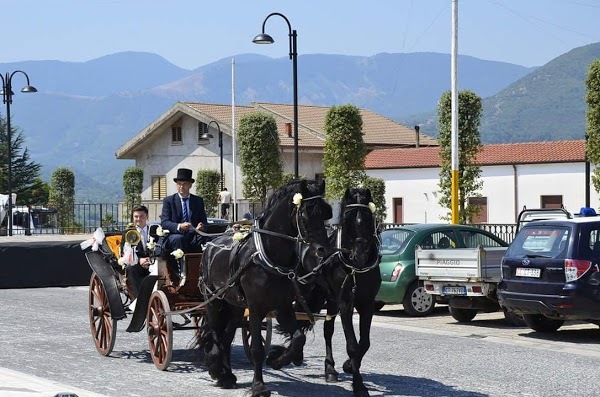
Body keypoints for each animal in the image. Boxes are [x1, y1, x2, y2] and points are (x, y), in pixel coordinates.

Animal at [197, 179, 332, 396]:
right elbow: (257, 349)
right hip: (214, 301)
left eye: (326, 212)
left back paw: (227, 376)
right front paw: (259, 386)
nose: (324, 251)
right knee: (216, 334)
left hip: (234, 306)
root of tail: (210, 244)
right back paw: (217, 369)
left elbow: (298, 338)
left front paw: (277, 360)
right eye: (306, 213)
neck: (269, 255)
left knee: (226, 338)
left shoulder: (282, 306)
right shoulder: (256, 308)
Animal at [298, 187, 382, 396]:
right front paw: (359, 385)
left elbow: (364, 342)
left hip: (331, 300)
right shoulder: (345, 304)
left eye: (367, 218)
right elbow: (352, 345)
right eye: (348, 217)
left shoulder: (367, 303)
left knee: (327, 330)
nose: (358, 255)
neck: (356, 269)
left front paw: (349, 366)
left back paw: (330, 369)